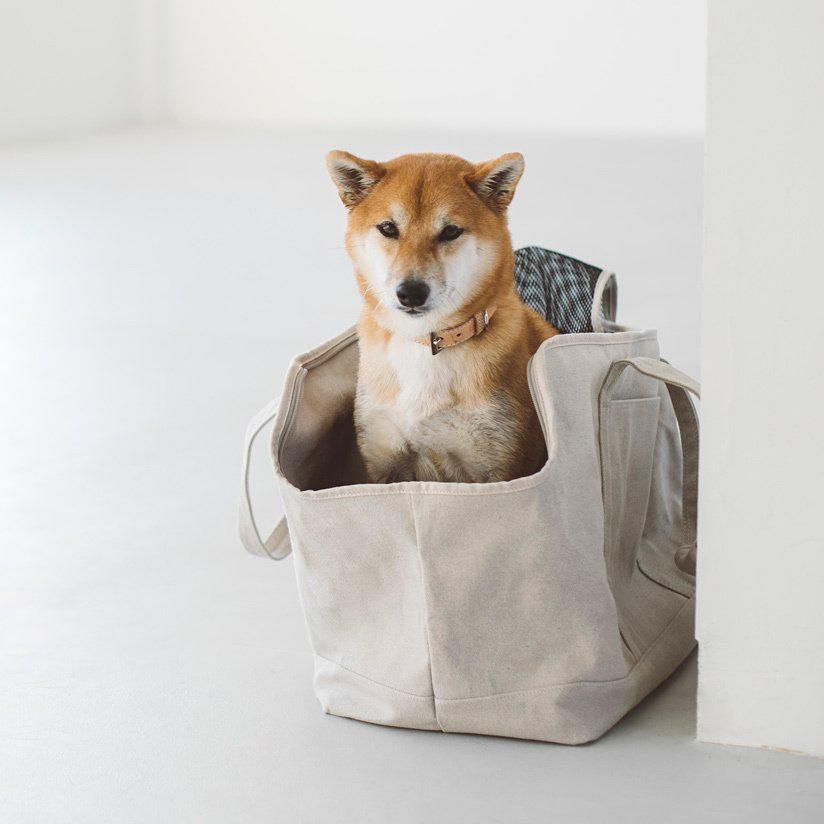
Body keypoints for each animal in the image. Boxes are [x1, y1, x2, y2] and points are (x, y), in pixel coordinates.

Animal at [326, 150, 558, 483]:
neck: (427, 343)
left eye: (450, 231)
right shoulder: (384, 463)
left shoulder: (501, 468)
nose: (410, 292)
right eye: (388, 228)